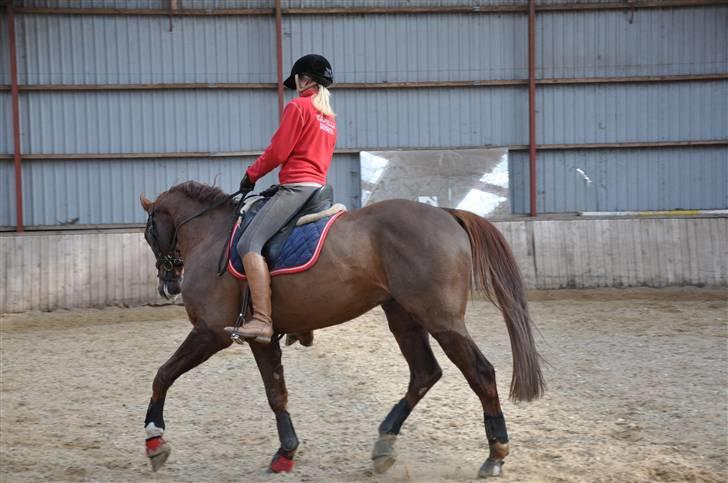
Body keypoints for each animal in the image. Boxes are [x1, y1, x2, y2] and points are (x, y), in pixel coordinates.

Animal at [139, 182, 544, 480]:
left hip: (441, 320)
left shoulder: (212, 332)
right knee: (425, 372)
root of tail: (445, 213)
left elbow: (163, 374)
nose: (167, 284)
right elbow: (276, 393)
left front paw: (154, 438)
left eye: (149, 233)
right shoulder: (261, 339)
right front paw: (286, 452)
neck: (213, 235)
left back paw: (495, 455)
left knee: (480, 372)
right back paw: (384, 444)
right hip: (403, 315)